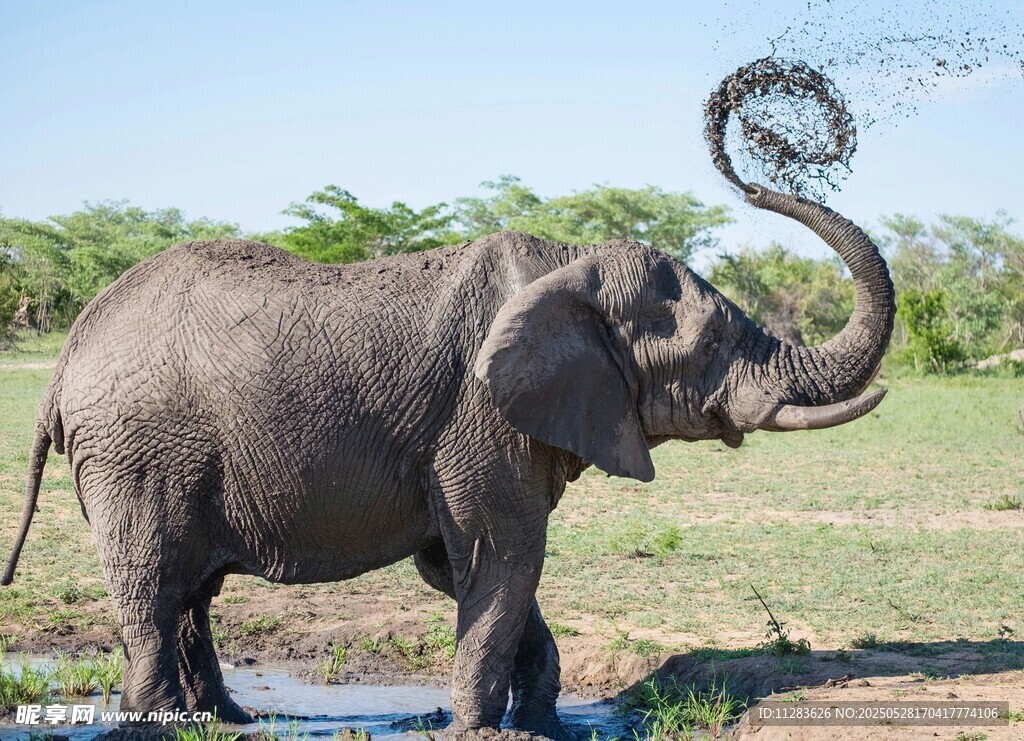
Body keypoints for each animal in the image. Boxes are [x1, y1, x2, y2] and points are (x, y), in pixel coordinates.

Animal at [2, 183, 893, 738]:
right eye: (710, 346)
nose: (748, 176)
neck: (568, 263)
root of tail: (66, 355)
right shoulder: (478, 415)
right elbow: (506, 553)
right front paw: (484, 730)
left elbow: (468, 566)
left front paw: (541, 724)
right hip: (136, 454)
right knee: (153, 586)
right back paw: (162, 727)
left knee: (190, 592)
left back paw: (229, 721)